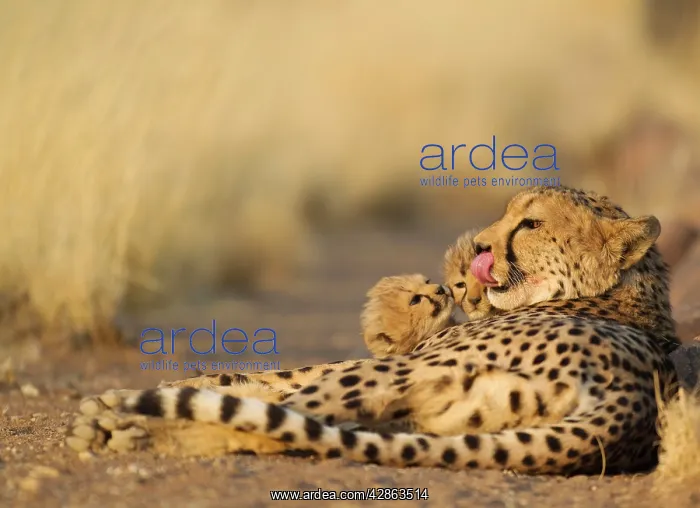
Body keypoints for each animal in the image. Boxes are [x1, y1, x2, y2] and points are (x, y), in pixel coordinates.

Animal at [67, 186, 681, 476]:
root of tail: (632, 403)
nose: (482, 247)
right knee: (292, 426)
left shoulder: (390, 359)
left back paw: (129, 428)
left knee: (289, 419)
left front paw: (127, 403)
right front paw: (148, 392)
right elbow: (256, 380)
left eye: (530, 224)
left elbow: (276, 381)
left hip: (401, 374)